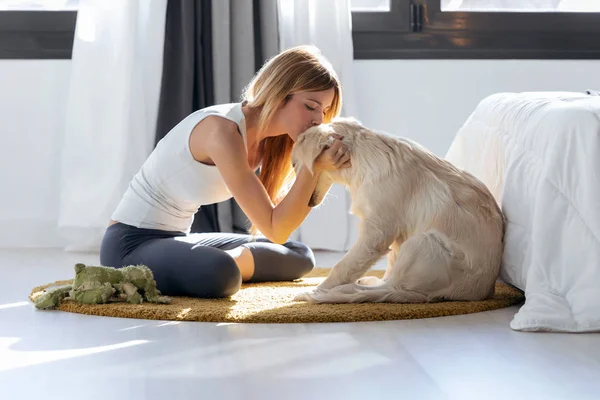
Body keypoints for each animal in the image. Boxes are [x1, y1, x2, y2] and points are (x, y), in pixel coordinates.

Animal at [292, 117, 504, 304]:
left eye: (294, 165)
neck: (362, 156)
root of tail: (477, 291)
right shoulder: (396, 233)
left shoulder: (376, 234)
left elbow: (342, 266)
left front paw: (317, 290)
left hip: (421, 242)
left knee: (389, 287)